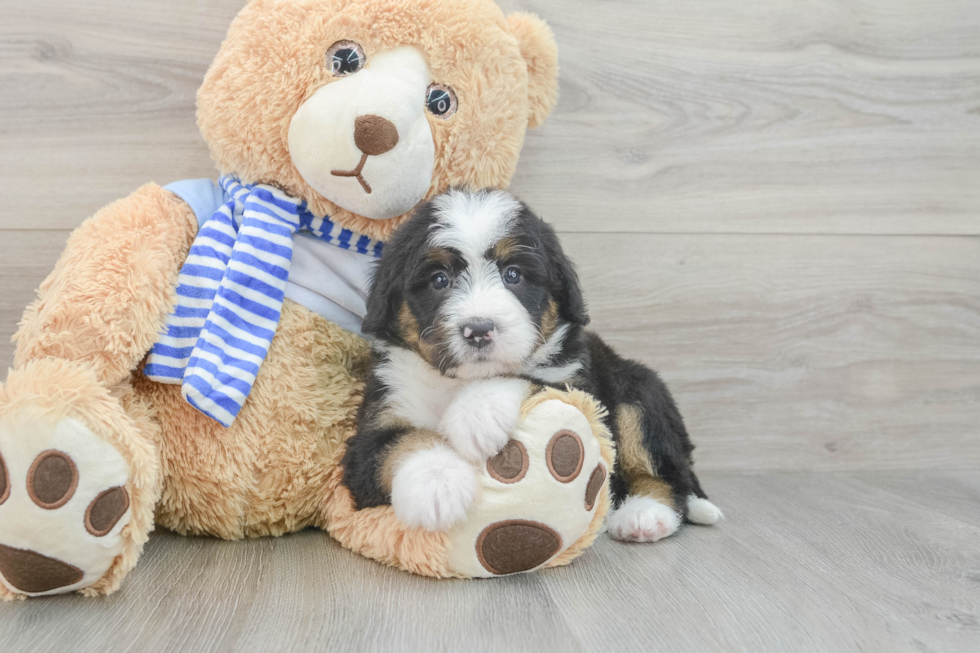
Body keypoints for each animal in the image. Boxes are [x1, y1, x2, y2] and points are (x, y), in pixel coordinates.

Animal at [342, 187, 720, 540]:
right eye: (438, 279)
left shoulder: (579, 386)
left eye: (513, 275)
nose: (478, 330)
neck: (459, 381)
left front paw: (476, 415)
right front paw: (437, 486)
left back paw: (644, 515)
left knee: (663, 471)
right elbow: (401, 444)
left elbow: (529, 378)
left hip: (639, 389)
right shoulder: (377, 421)